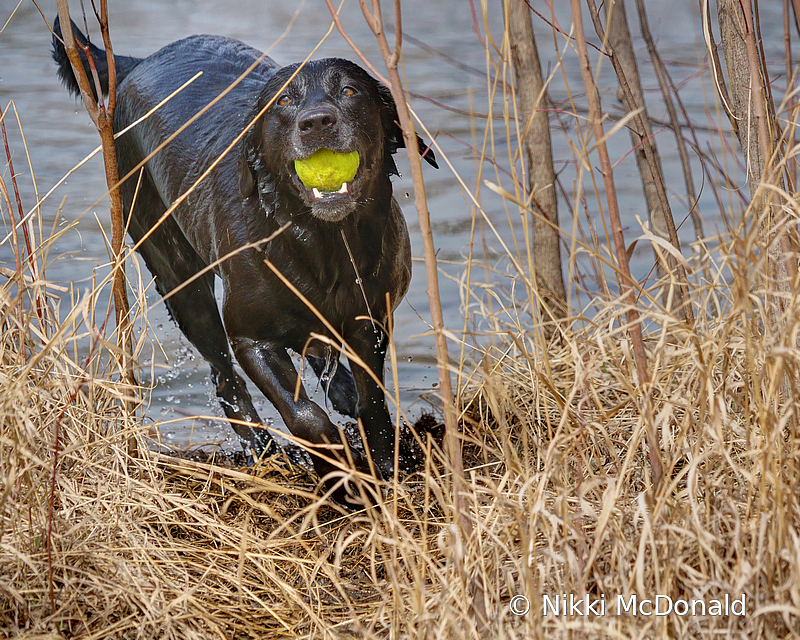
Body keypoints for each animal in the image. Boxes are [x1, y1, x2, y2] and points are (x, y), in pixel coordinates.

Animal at [52, 15, 434, 498]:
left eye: (349, 90)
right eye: (284, 100)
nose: (317, 122)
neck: (322, 240)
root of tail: (135, 63)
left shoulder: (371, 322)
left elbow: (372, 402)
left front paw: (386, 468)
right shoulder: (250, 338)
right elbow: (303, 414)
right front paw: (340, 472)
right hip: (179, 278)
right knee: (226, 380)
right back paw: (267, 452)